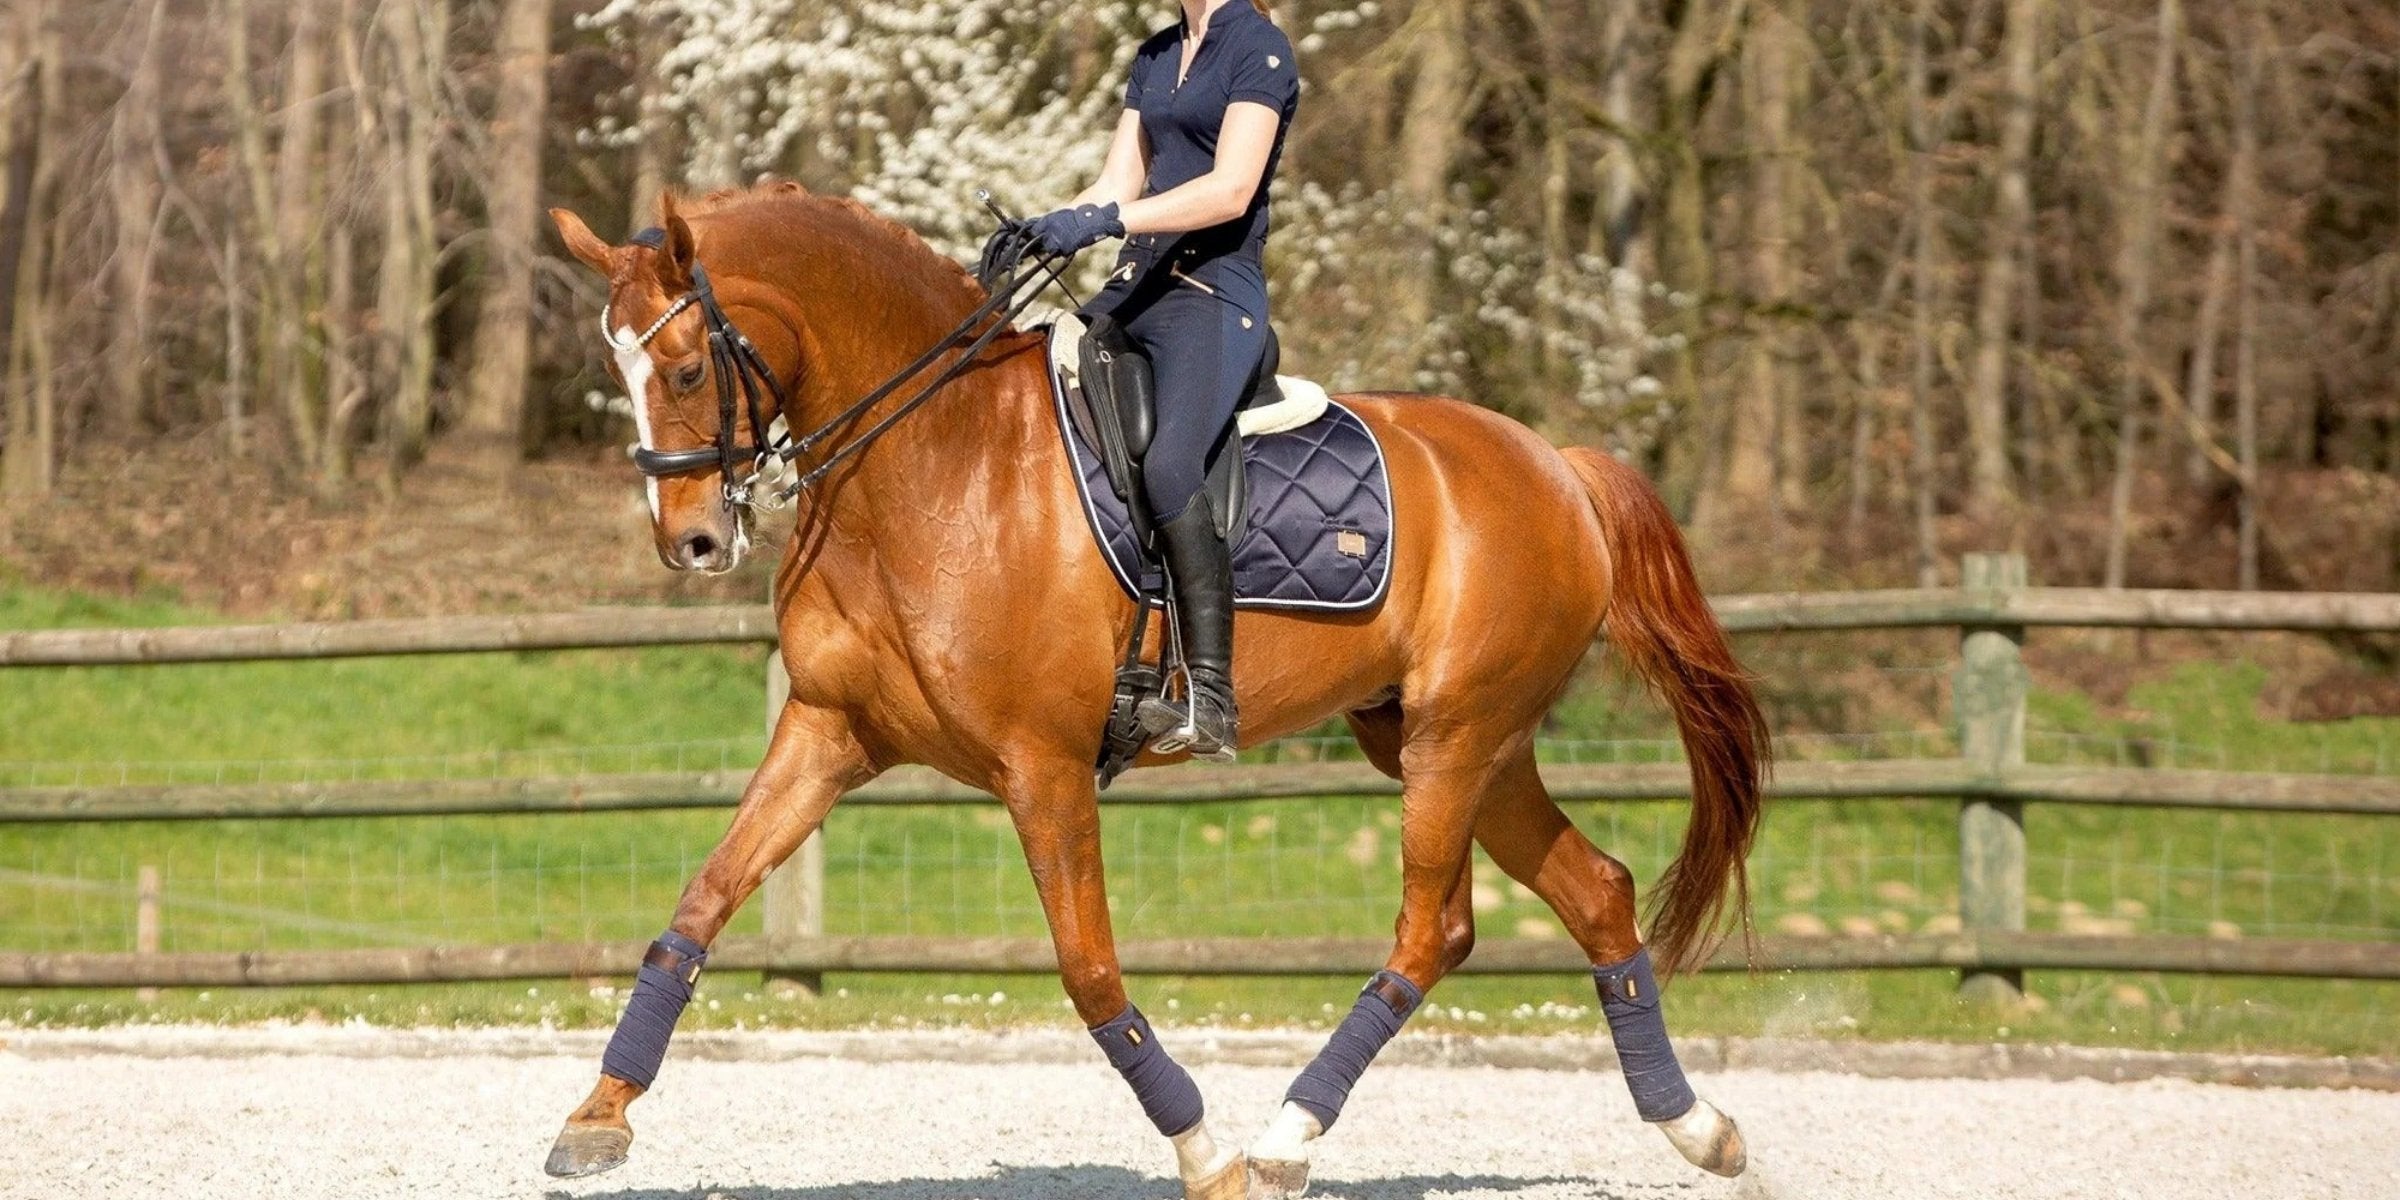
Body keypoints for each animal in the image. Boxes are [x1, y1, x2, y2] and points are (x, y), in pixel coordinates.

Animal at [543, 182, 1768, 1200]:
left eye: (688, 370)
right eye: (617, 374)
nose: (693, 543)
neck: (935, 461)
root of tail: (1559, 464)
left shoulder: (1042, 767)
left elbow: (1090, 976)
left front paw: (1205, 1153)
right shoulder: (828, 731)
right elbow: (697, 906)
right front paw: (598, 1119)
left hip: (1455, 741)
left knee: (1434, 932)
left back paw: (1282, 1140)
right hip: (1459, 742)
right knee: (1596, 892)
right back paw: (1698, 1128)